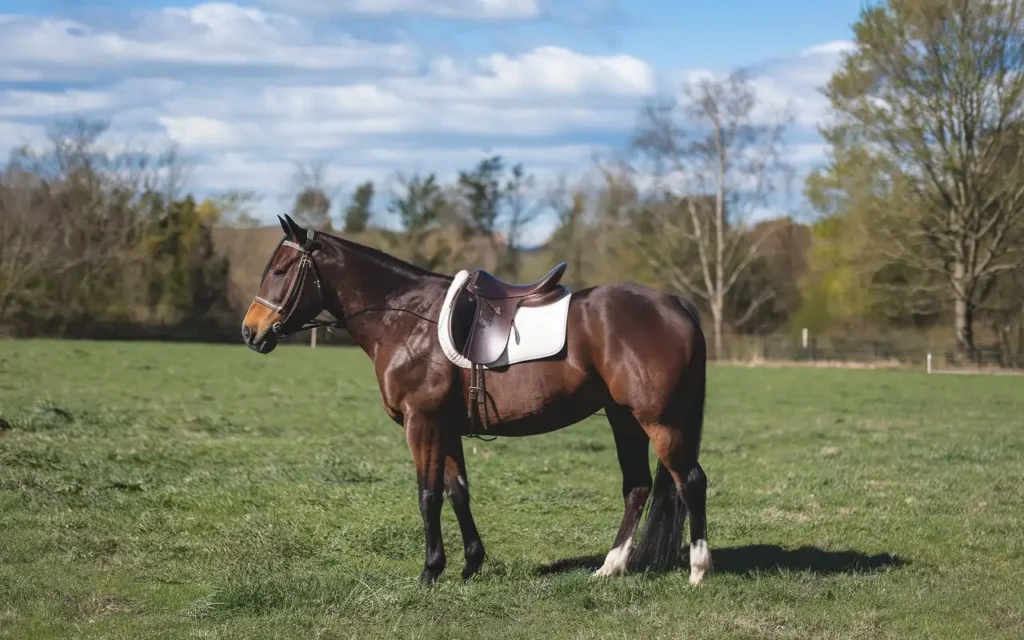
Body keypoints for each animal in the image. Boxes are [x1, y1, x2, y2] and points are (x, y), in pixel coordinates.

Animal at [237, 212, 712, 585]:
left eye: (279, 271)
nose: (249, 331)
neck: (406, 318)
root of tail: (676, 304)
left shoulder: (422, 424)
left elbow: (428, 495)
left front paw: (430, 570)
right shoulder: (446, 428)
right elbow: (458, 492)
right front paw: (470, 564)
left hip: (659, 421)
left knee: (690, 481)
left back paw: (698, 570)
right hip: (624, 418)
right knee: (638, 486)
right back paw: (611, 567)